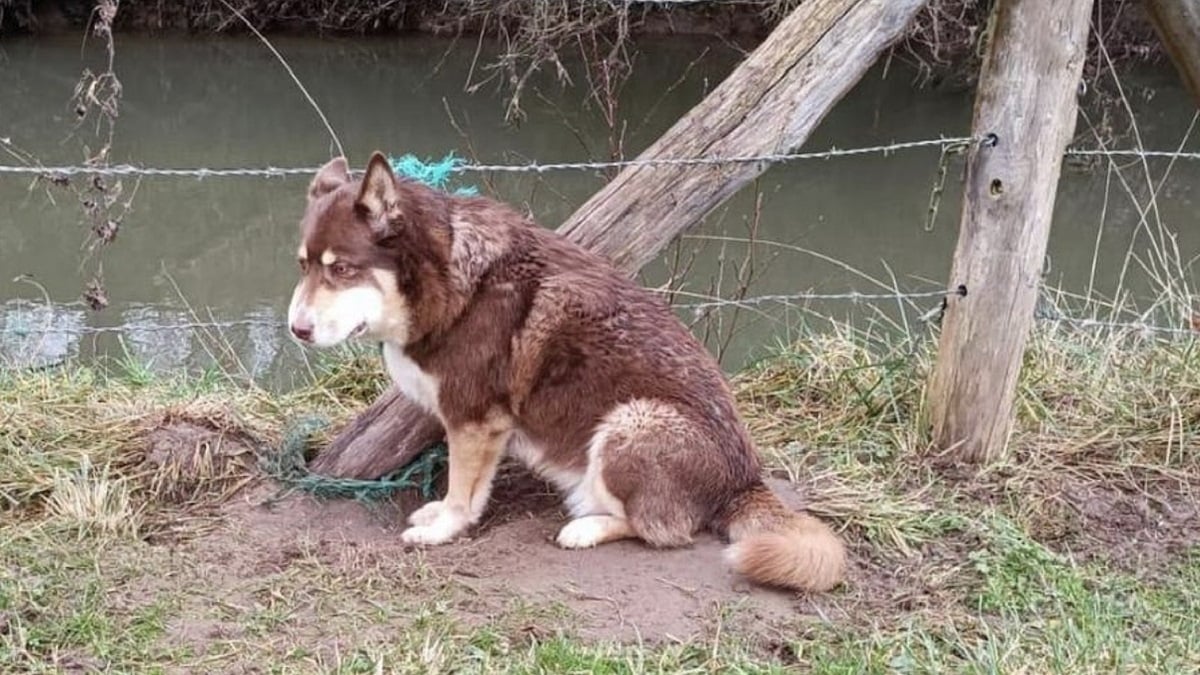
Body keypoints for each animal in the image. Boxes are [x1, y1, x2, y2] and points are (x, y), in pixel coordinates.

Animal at [286, 151, 849, 588]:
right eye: (303, 265)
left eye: (342, 269)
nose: (296, 330)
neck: (445, 279)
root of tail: (744, 481)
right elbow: (464, 490)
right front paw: (440, 513)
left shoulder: (474, 421)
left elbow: (463, 494)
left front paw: (443, 530)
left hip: (631, 422)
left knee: (665, 530)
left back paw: (587, 527)